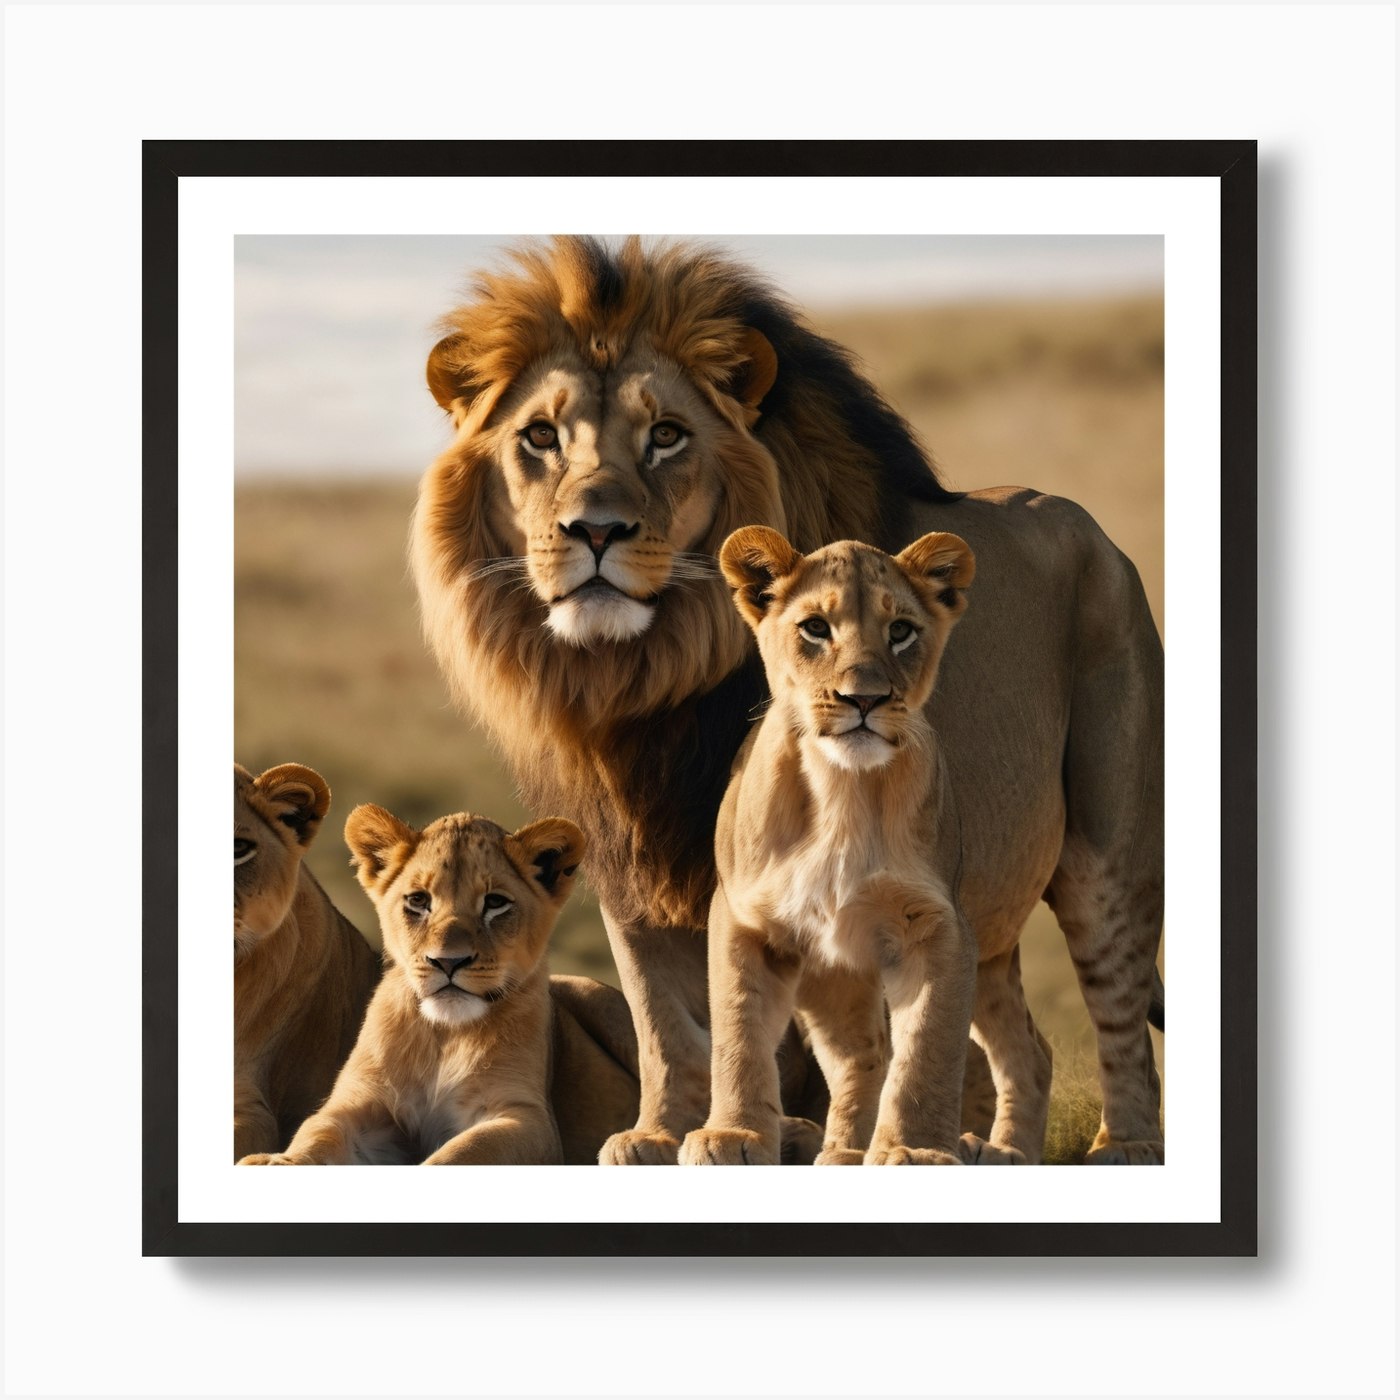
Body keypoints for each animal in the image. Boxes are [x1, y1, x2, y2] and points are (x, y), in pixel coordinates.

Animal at [238, 805, 640, 1165]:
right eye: (419, 900)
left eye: (495, 903)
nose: (448, 961)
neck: (443, 1036)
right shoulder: (358, 1103)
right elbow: (318, 1132)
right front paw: (277, 1161)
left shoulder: (525, 1116)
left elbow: (463, 1153)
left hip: (600, 1000)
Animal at [681, 528, 1021, 1166]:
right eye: (815, 627)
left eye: (901, 631)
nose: (863, 699)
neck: (845, 789)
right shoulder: (742, 918)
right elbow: (738, 1030)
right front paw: (733, 1135)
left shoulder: (937, 924)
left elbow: (929, 1047)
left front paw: (915, 1149)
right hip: (831, 971)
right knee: (859, 1054)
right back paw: (840, 1149)